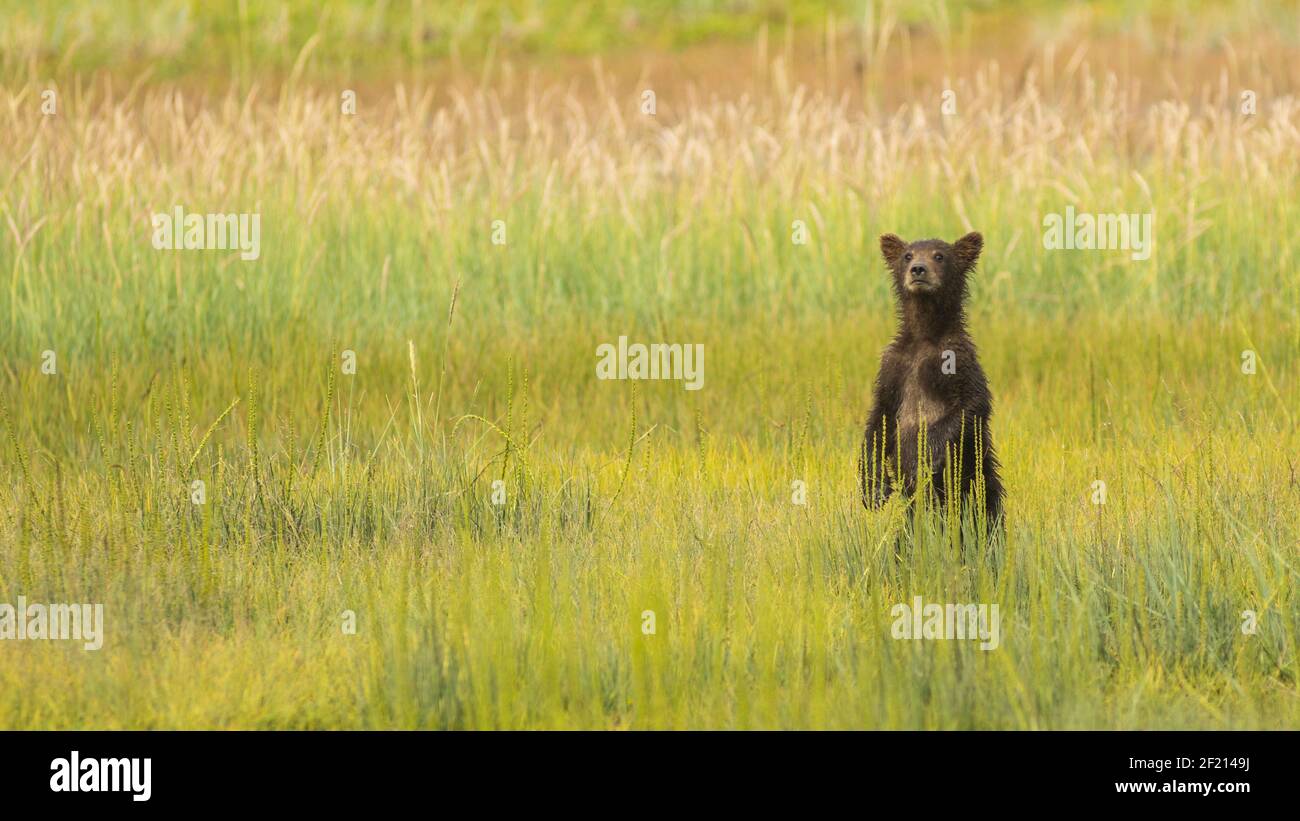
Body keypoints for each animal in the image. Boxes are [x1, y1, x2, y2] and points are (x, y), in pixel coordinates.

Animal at [858, 231, 1004, 530]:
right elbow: (879, 419)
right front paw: (874, 489)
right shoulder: (894, 368)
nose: (918, 269)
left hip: (977, 485)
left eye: (939, 255)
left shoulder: (958, 361)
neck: (925, 335)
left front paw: (922, 457)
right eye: (908, 255)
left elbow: (971, 405)